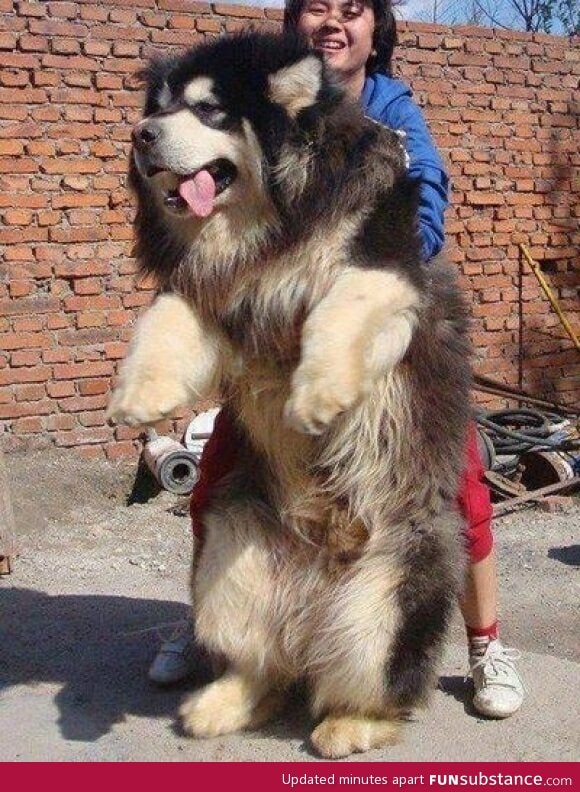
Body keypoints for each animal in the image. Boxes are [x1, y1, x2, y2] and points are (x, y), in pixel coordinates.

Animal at [107, 31, 472, 756]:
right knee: (266, 665)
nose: (140, 135)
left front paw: (316, 396)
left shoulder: (386, 267)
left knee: (378, 688)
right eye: (159, 107)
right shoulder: (211, 293)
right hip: (230, 551)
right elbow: (165, 318)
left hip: (392, 592)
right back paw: (223, 701)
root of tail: (313, 609)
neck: (268, 229)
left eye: (210, 109)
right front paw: (139, 394)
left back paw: (350, 725)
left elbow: (345, 306)